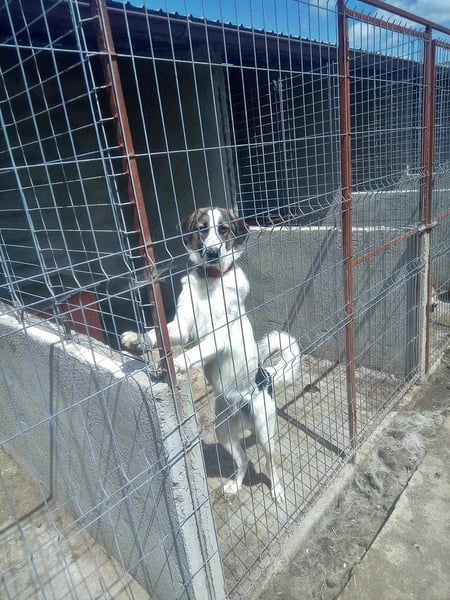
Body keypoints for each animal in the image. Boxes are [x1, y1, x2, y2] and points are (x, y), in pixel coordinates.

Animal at [121, 207, 300, 502]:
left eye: (223, 229)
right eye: (202, 228)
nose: (213, 252)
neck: (209, 282)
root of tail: (267, 375)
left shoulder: (217, 337)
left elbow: (192, 353)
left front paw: (173, 364)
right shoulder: (182, 326)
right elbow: (160, 335)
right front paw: (138, 339)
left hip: (264, 430)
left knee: (270, 462)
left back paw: (276, 490)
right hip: (222, 431)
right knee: (244, 460)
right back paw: (235, 485)